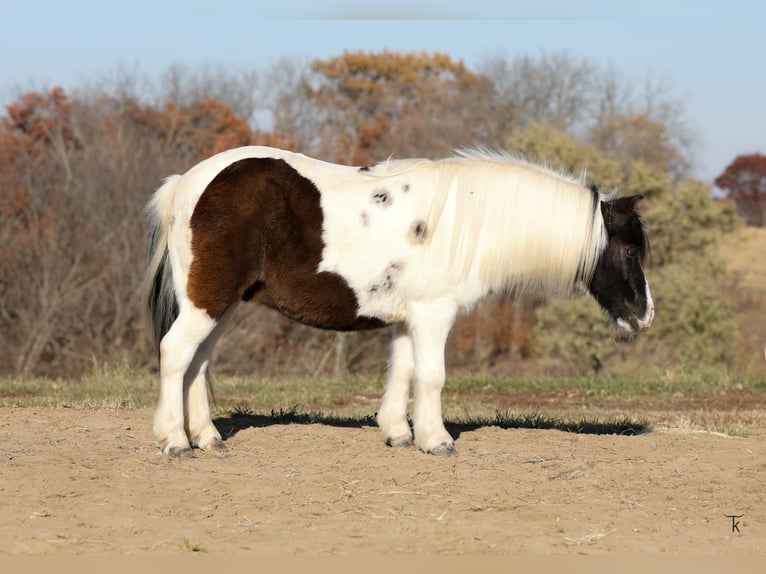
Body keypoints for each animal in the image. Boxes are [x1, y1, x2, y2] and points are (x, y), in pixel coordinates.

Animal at [143, 146, 654, 457]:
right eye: (630, 250)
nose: (645, 316)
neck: (466, 218)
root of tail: (187, 182)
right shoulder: (434, 315)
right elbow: (431, 376)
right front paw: (437, 440)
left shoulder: (411, 319)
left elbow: (402, 371)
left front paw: (397, 433)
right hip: (207, 303)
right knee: (176, 353)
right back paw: (174, 440)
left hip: (220, 306)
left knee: (198, 363)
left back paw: (207, 438)